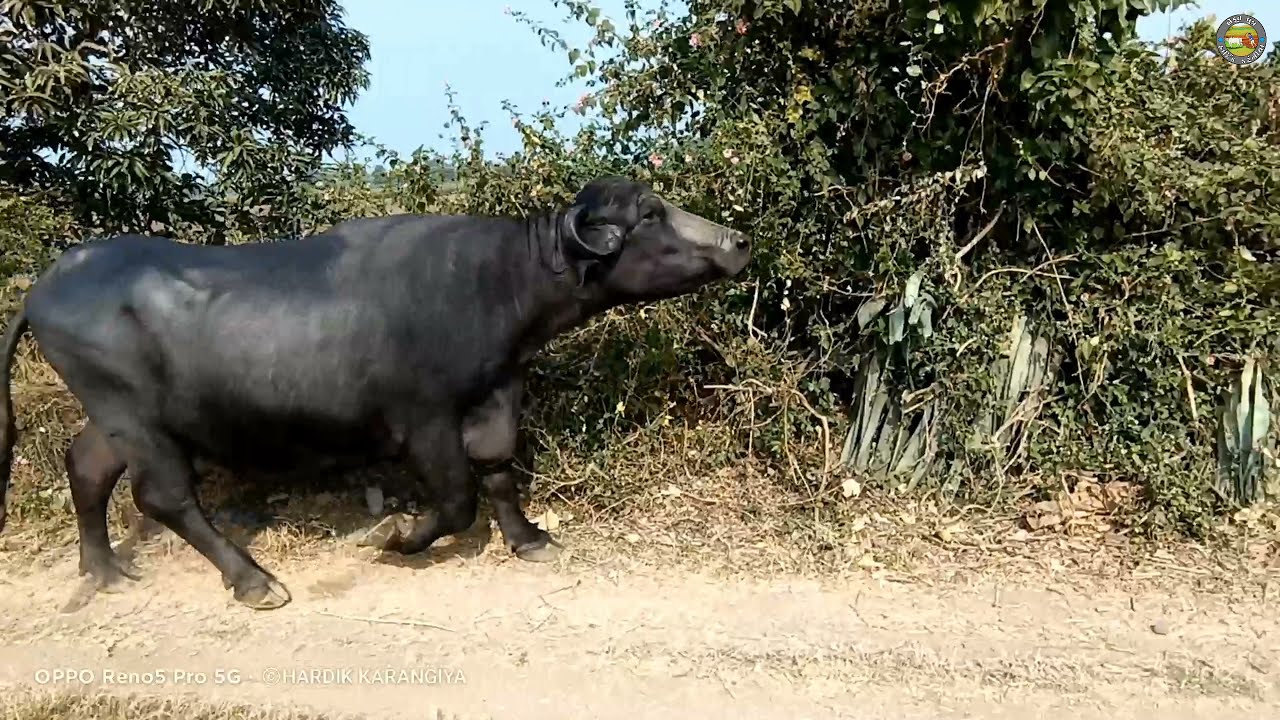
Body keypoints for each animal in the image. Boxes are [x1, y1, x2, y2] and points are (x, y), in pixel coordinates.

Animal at [0, 176, 751, 610]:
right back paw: (254, 582)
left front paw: (529, 538)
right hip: (136, 417)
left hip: (114, 417)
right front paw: (398, 540)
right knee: (163, 496)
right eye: (648, 215)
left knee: (86, 467)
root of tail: (48, 282)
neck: (496, 281)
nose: (739, 241)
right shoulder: (423, 418)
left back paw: (101, 570)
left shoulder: (497, 391)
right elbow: (457, 497)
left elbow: (498, 469)